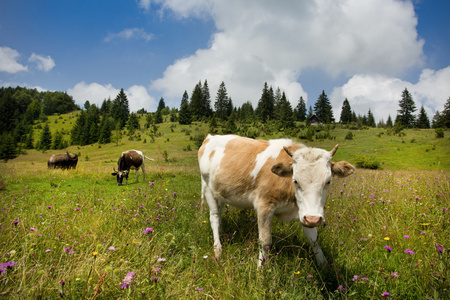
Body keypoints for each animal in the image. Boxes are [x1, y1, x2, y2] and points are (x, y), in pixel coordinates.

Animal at [199, 135, 356, 266]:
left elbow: (314, 239)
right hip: (208, 189)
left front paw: (324, 266)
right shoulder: (264, 206)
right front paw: (261, 269)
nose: (313, 219)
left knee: (219, 217)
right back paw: (218, 248)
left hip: (221, 193)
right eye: (295, 180)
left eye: (328, 181)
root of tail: (210, 137)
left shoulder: (305, 211)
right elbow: (265, 240)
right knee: (214, 217)